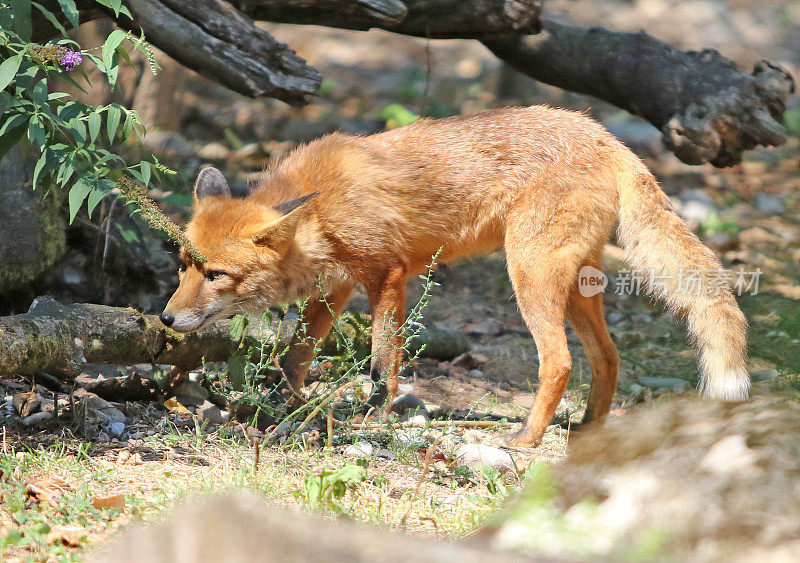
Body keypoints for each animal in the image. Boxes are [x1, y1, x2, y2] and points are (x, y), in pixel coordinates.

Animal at [161, 106, 752, 448]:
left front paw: (372, 422)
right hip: (577, 289)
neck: (323, 209)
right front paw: (279, 411)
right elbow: (295, 356)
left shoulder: (387, 275)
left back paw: (525, 439)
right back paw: (588, 430)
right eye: (184, 266)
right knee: (608, 357)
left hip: (529, 276)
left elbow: (382, 365)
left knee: (559, 362)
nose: (165, 318)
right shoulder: (338, 286)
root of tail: (609, 138)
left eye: (216, 274)